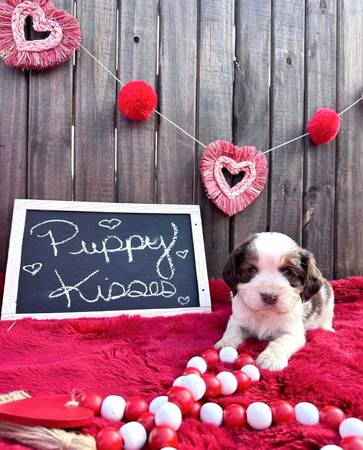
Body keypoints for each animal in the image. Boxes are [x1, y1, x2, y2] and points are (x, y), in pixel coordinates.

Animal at [216, 232, 336, 370]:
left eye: (288, 272)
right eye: (251, 270)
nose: (269, 296)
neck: (265, 314)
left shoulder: (293, 333)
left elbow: (281, 342)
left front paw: (271, 359)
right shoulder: (238, 318)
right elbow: (232, 329)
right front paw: (225, 343)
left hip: (329, 301)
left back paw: (327, 329)